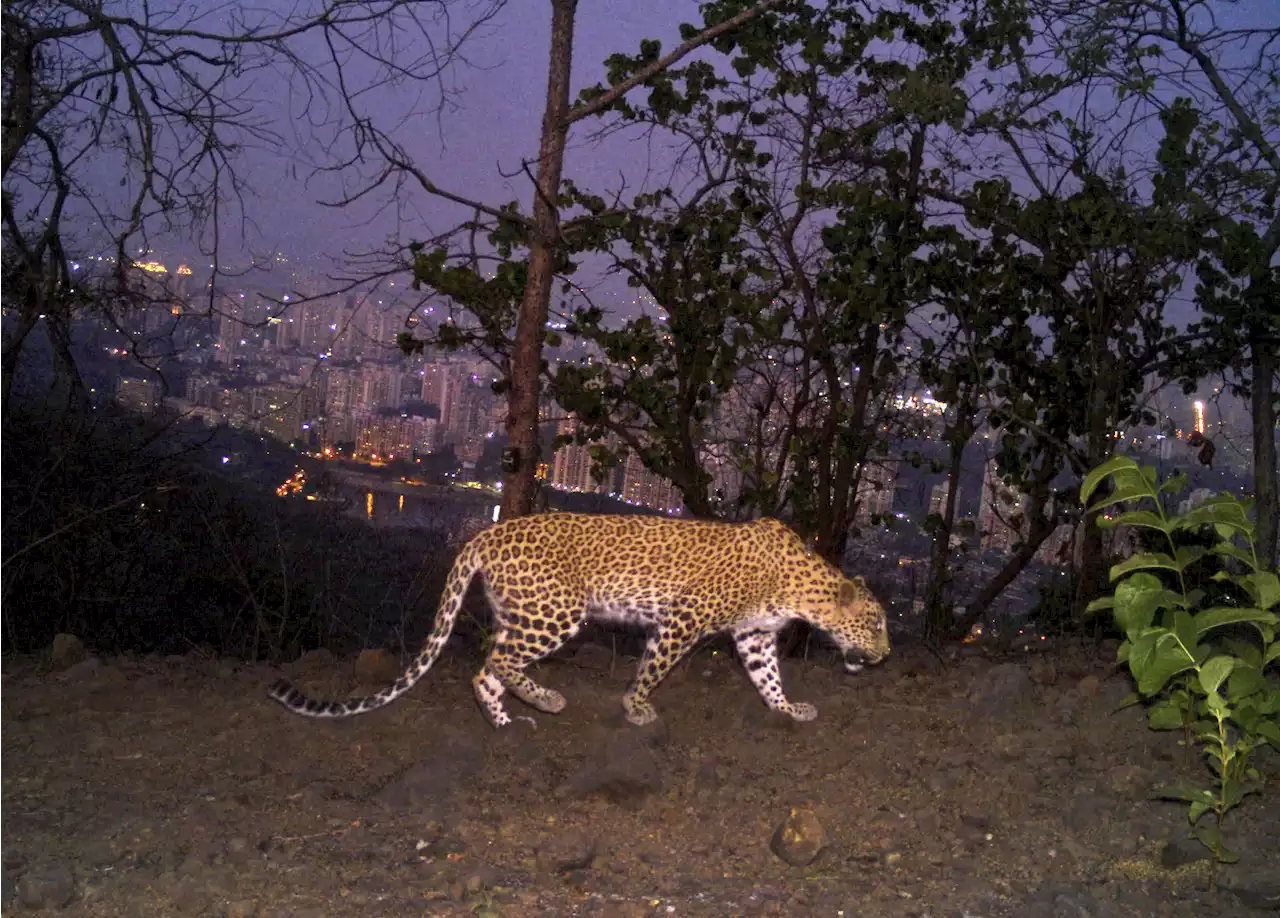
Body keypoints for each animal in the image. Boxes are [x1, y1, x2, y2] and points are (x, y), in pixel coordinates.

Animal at [270, 512, 890, 727]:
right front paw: (636, 707)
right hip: (557, 613)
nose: (885, 656)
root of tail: (485, 533)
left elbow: (767, 677)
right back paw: (545, 700)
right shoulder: (682, 621)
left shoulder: (755, 634)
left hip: (522, 612)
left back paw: (507, 721)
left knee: (485, 669)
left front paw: (788, 708)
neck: (799, 589)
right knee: (495, 659)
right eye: (879, 623)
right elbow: (654, 668)